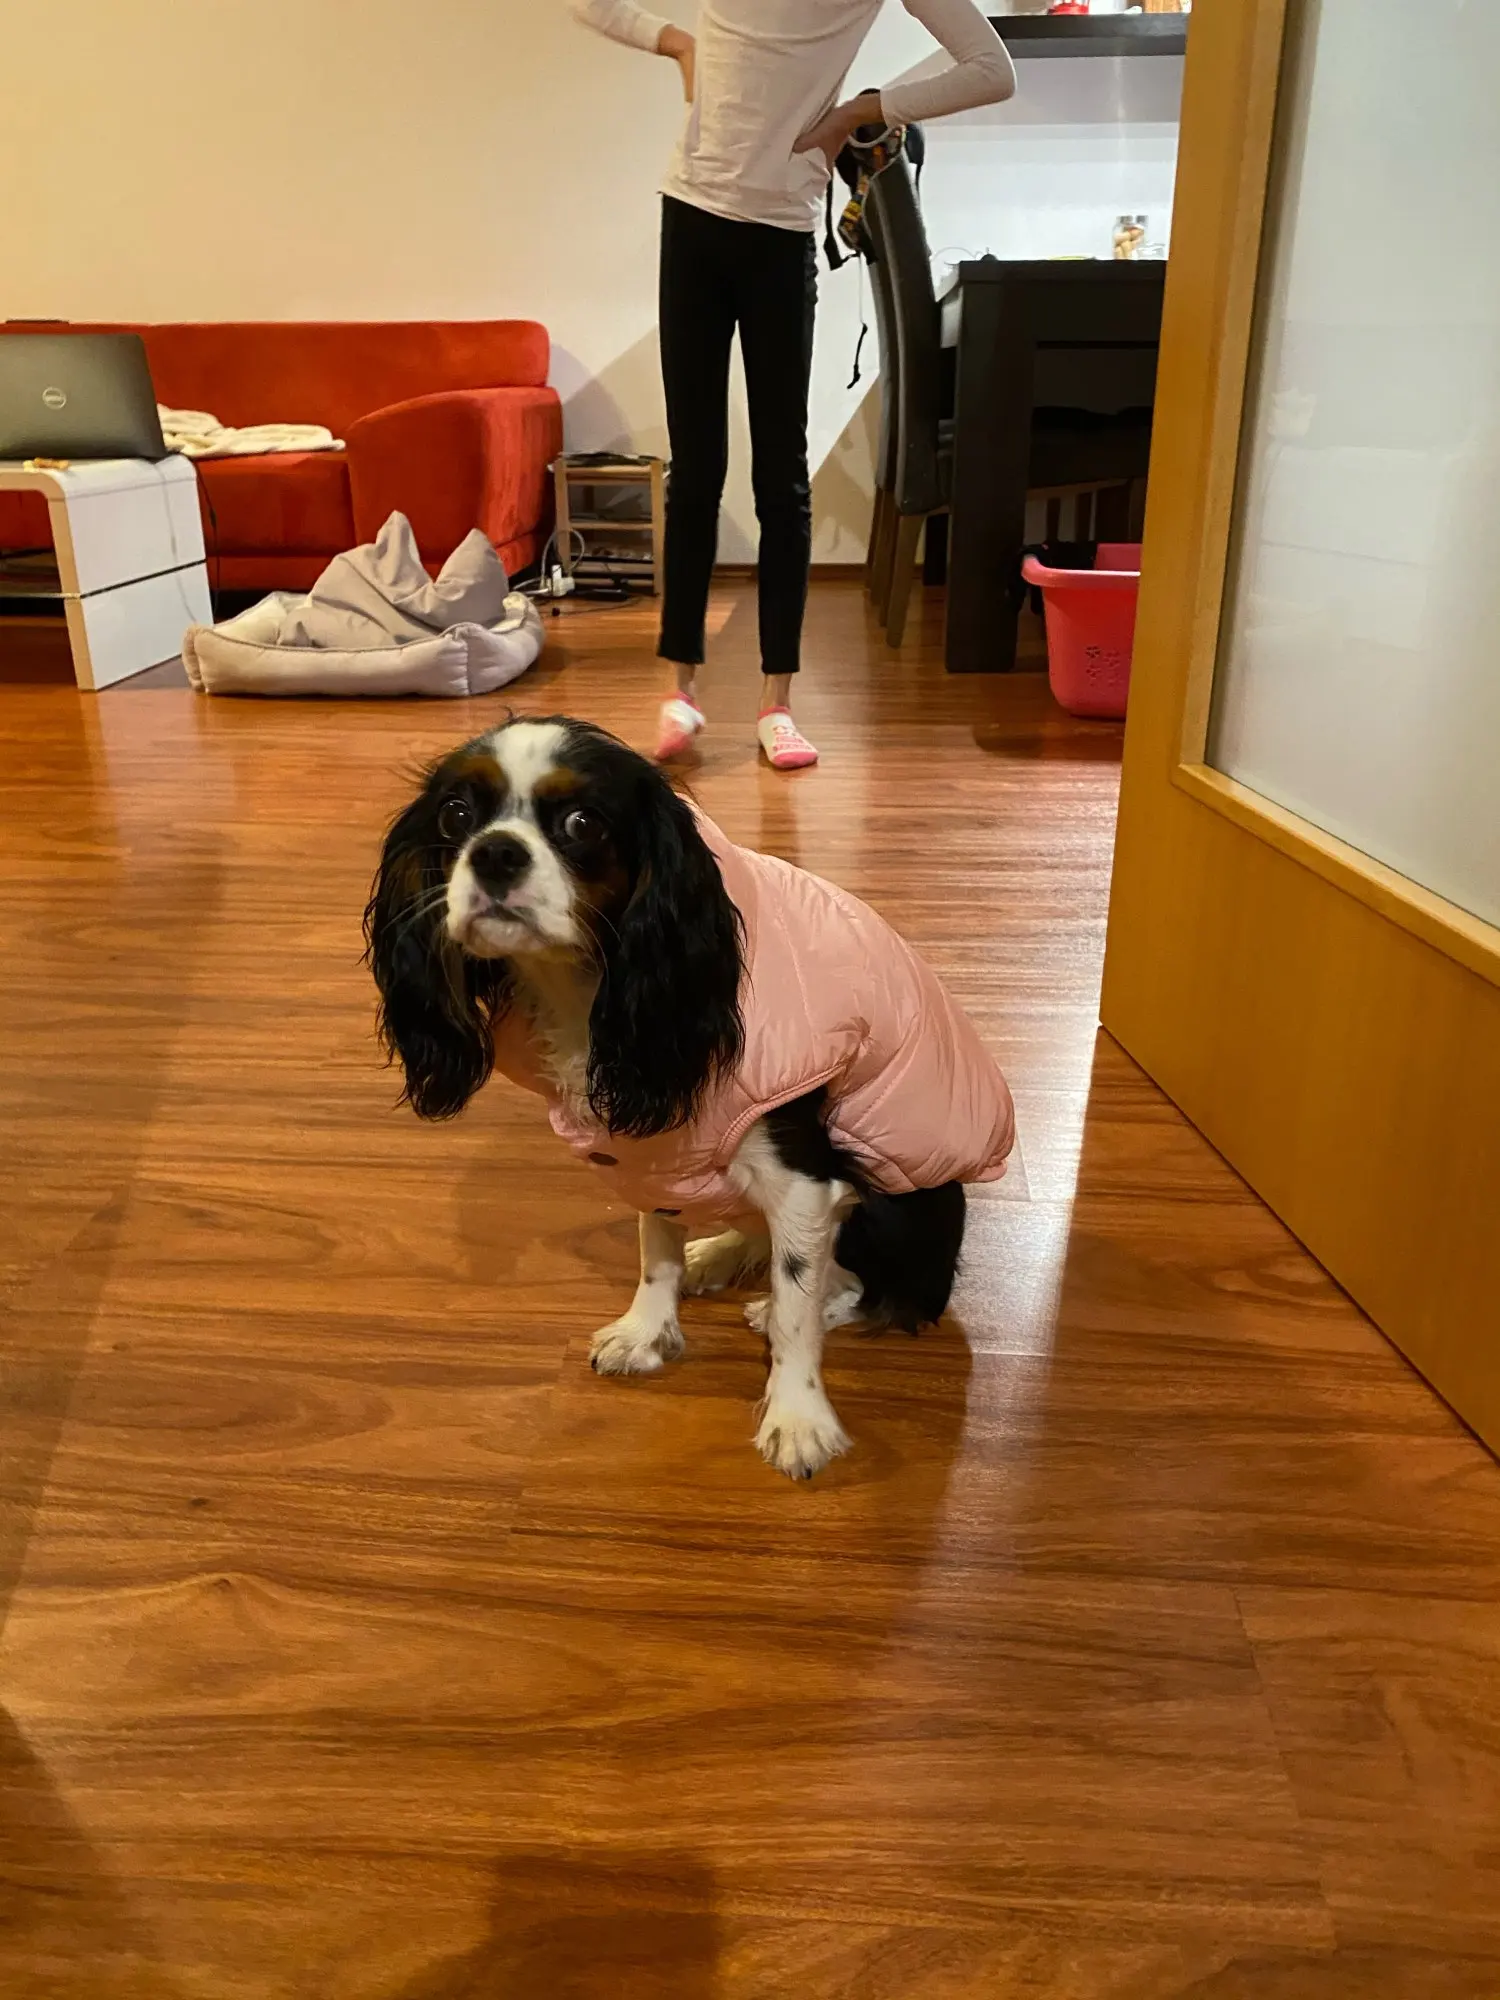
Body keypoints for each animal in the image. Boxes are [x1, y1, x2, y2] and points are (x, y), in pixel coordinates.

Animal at [365, 716, 1015, 1479]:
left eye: (583, 823)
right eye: (456, 815)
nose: (495, 853)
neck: (594, 989)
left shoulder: (803, 1175)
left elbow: (797, 1303)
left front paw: (798, 1415)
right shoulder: (649, 1146)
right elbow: (658, 1247)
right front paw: (647, 1330)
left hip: (896, 1205)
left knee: (892, 1294)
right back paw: (724, 1254)